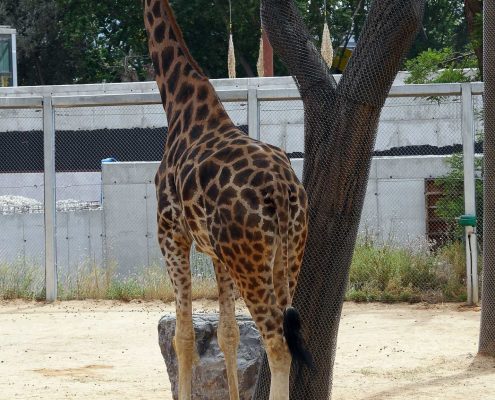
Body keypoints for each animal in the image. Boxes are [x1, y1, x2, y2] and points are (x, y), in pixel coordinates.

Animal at [143, 1, 312, 398]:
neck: (180, 106)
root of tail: (281, 190)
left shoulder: (171, 234)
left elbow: (184, 337)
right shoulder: (219, 256)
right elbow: (228, 334)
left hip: (249, 260)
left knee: (277, 345)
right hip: (286, 252)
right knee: (288, 335)